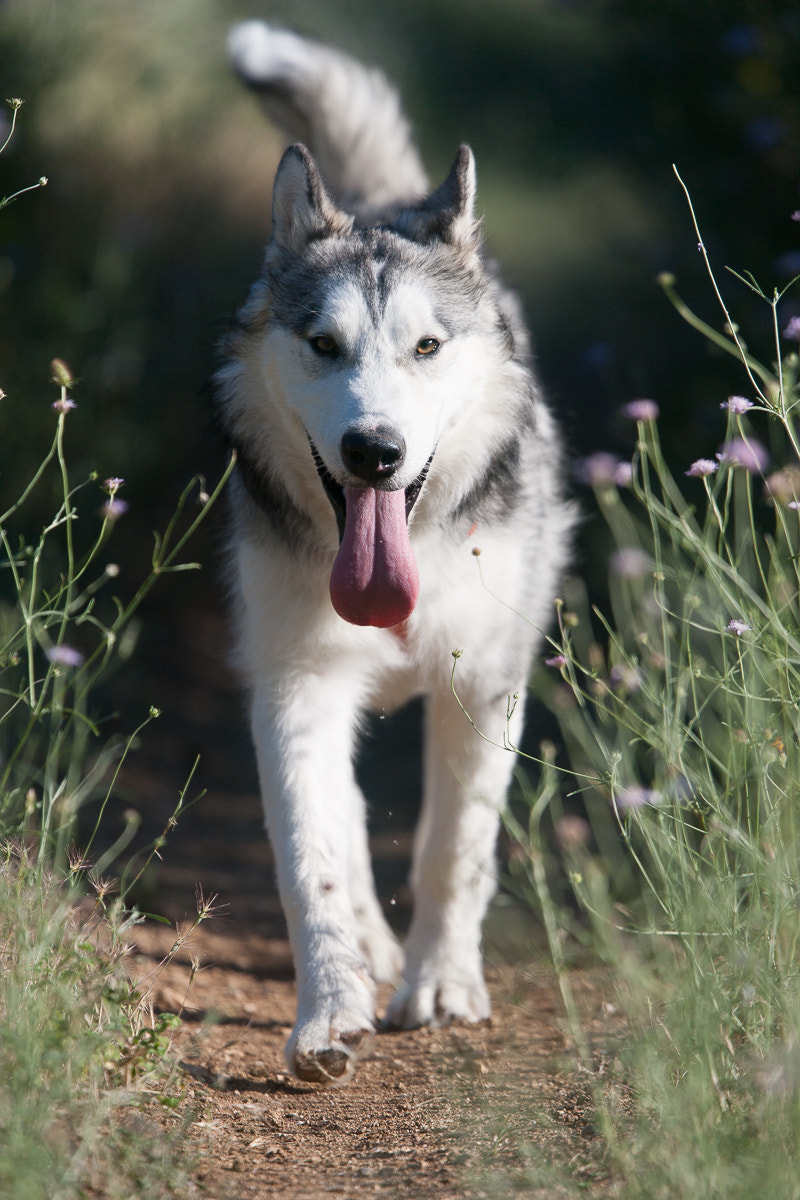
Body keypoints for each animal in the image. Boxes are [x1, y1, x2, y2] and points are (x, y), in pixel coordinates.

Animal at [215, 21, 573, 1089]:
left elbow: (455, 849)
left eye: (425, 347)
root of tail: (384, 199)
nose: (374, 450)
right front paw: (329, 1017)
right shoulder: (295, 685)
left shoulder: (484, 686)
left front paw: (443, 988)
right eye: (324, 344)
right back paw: (370, 954)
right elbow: (313, 862)